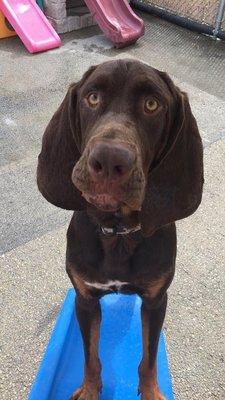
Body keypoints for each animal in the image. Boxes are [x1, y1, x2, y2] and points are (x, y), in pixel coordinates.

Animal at [37, 60, 204, 400]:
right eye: (93, 97)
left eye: (152, 104)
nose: (110, 159)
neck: (118, 231)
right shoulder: (85, 299)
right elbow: (90, 356)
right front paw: (89, 390)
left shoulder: (155, 300)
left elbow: (149, 359)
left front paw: (151, 392)